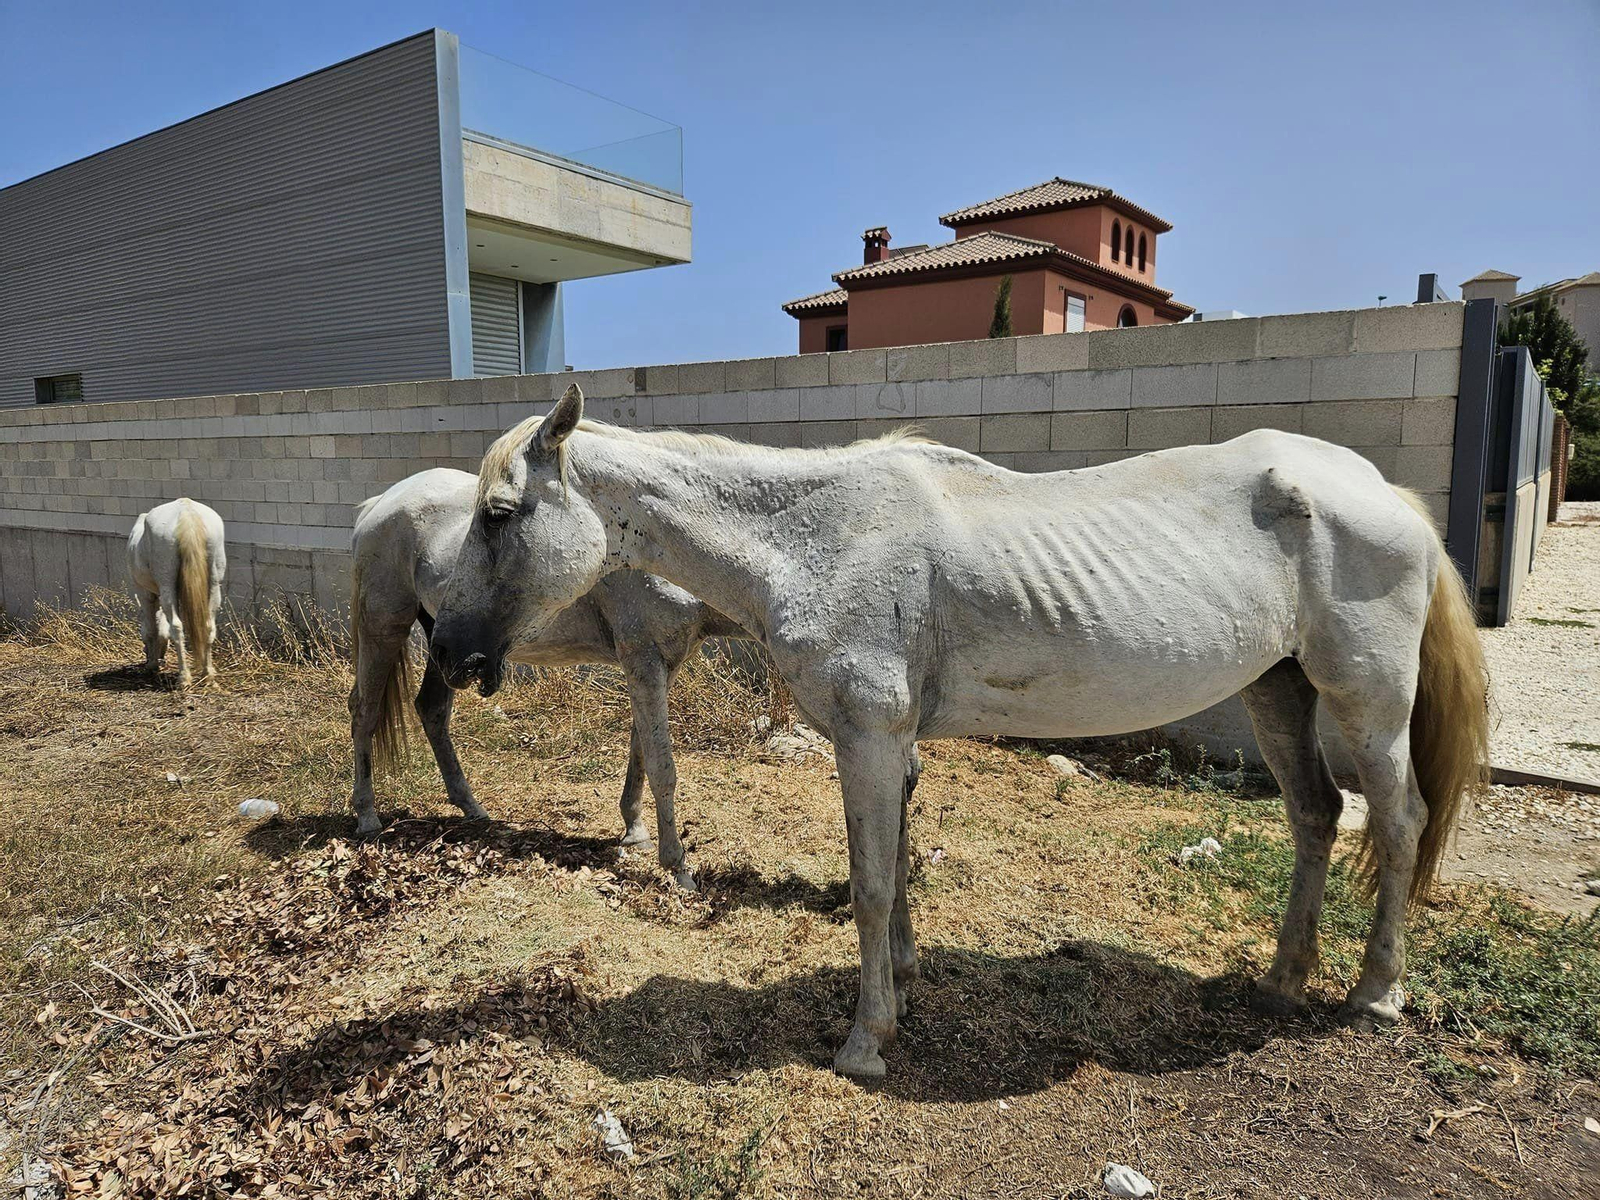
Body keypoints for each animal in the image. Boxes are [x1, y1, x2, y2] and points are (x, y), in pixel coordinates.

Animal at [126, 497, 226, 688]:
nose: (149, 655)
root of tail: (187, 512)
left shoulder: (145, 594)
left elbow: (151, 629)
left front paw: (152, 664)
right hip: (214, 583)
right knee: (209, 625)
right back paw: (208, 675)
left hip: (166, 584)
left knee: (177, 627)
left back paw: (184, 677)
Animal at [348, 467, 746, 888]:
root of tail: (380, 503)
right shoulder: (644, 661)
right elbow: (661, 765)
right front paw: (678, 868)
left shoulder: (659, 668)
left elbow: (640, 750)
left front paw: (634, 832)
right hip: (384, 628)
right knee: (364, 712)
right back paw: (367, 816)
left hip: (446, 646)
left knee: (432, 710)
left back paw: (471, 806)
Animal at [430, 384, 1489, 1079]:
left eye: (499, 515)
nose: (447, 649)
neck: (815, 538)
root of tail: (1385, 494)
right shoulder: (890, 745)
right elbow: (896, 873)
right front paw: (900, 989)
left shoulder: (865, 739)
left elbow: (866, 885)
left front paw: (865, 1045)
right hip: (1279, 693)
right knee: (1315, 816)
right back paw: (1279, 981)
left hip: (1366, 704)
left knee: (1396, 823)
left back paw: (1375, 993)